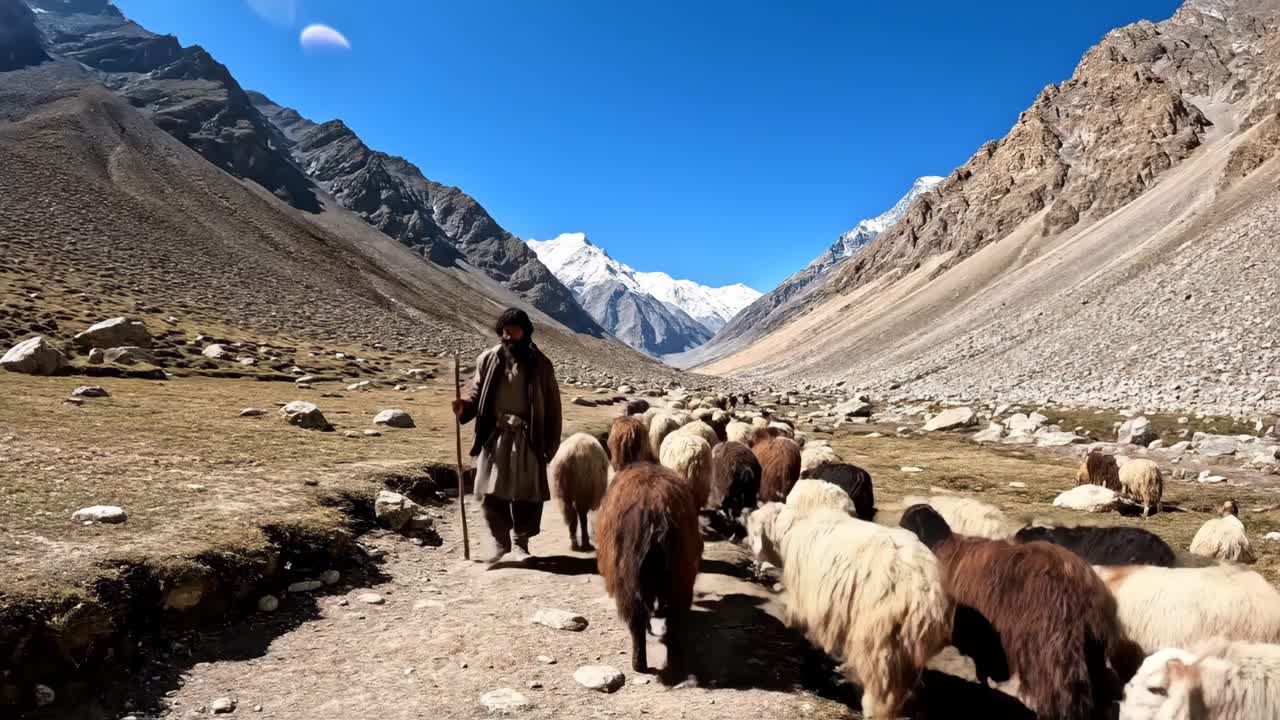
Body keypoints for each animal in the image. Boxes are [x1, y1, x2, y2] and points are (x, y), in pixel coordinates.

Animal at [596, 463, 702, 678]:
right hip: (679, 574)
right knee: (673, 617)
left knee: (638, 620)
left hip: (629, 578)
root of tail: (656, 510)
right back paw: (672, 663)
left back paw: (640, 663)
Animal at [747, 503, 953, 718]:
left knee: (882, 694)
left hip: (878, 638)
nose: (752, 564)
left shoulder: (809, 608)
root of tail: (925, 588)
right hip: (909, 645)